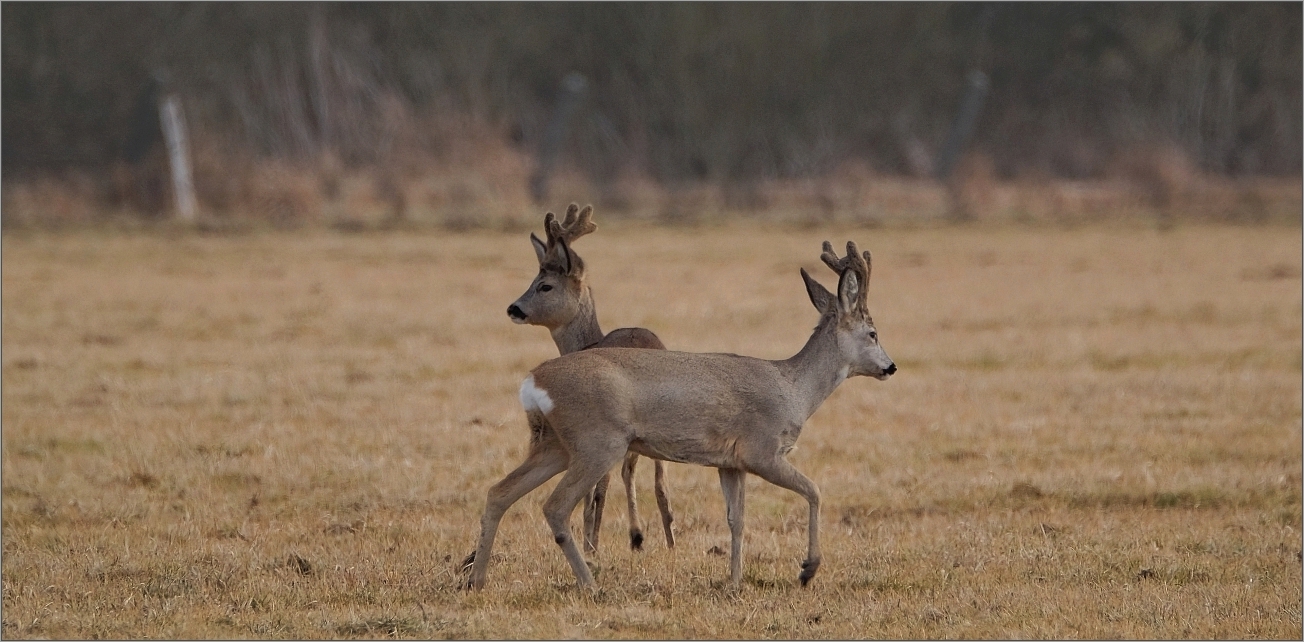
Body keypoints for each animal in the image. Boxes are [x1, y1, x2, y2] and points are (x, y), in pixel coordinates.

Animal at [466, 240, 897, 592]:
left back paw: (476, 580)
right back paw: (590, 584)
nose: (890, 367)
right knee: (555, 506)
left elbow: (736, 519)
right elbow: (814, 491)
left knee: (498, 492)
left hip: (554, 445)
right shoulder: (762, 451)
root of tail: (533, 380)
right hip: (598, 442)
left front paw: (734, 583)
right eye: (873, 332)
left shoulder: (731, 463)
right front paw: (808, 569)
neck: (794, 388)